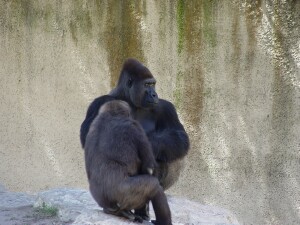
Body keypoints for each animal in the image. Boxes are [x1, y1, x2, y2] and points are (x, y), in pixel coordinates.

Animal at [81, 58, 190, 221]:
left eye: (153, 84)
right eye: (146, 85)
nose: (154, 94)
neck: (130, 100)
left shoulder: (165, 107)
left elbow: (180, 136)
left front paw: (153, 142)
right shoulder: (101, 101)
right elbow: (86, 133)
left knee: (172, 153)